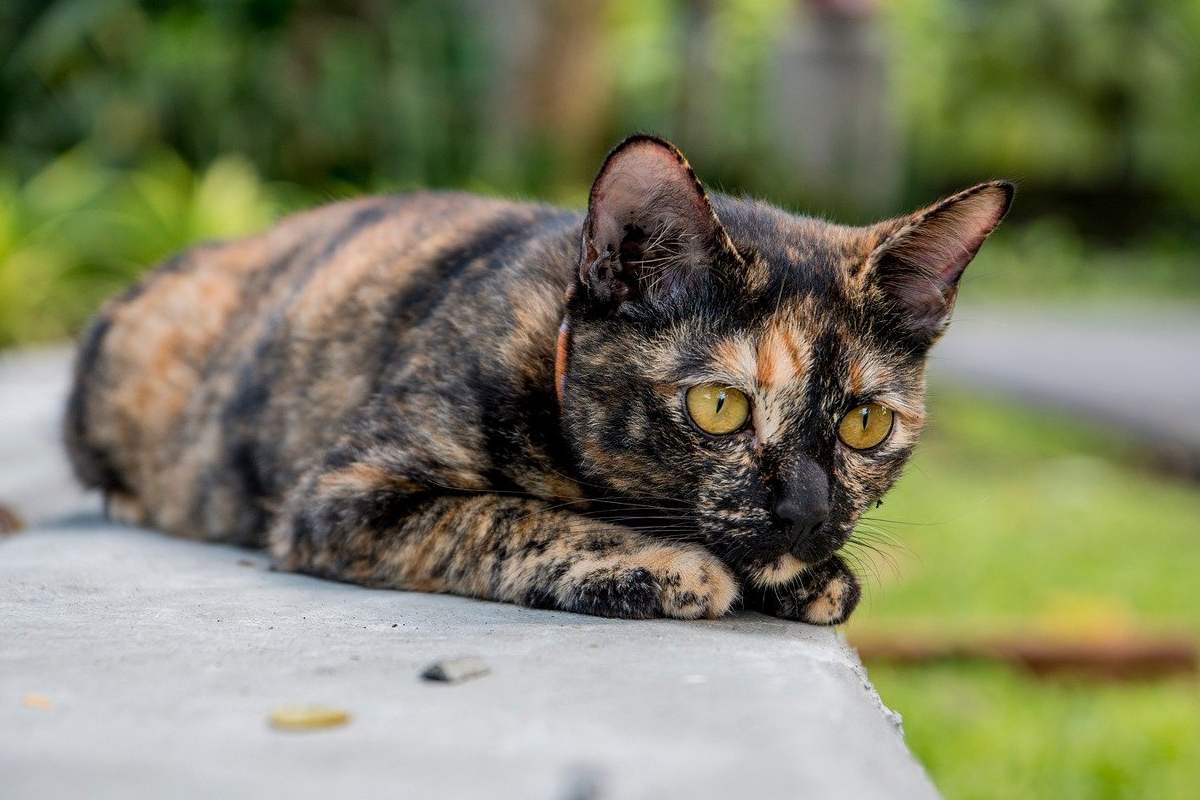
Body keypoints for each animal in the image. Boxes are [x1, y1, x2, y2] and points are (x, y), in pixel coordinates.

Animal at [60, 136, 1008, 623]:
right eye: (719, 406)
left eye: (865, 424)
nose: (806, 512)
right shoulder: (344, 497)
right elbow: (510, 516)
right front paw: (671, 565)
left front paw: (809, 573)